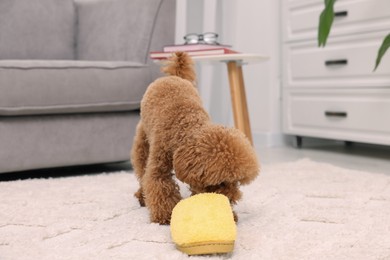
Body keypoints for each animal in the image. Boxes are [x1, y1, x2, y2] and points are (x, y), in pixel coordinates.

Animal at [130, 51, 258, 224]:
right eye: (220, 182)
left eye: (236, 181)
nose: (232, 199)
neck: (185, 126)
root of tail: (174, 76)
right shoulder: (159, 164)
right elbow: (159, 184)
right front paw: (166, 215)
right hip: (142, 141)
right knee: (142, 170)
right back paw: (141, 195)